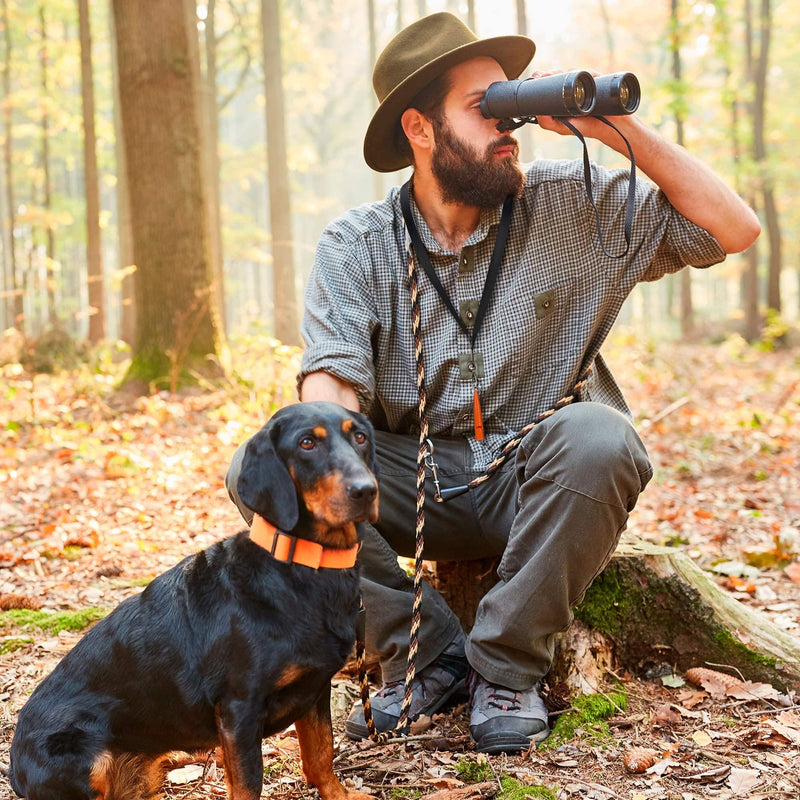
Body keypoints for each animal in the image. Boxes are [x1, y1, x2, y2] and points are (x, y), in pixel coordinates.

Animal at [9, 400, 378, 800]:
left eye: (359, 436)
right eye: (307, 443)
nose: (366, 490)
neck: (301, 567)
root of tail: (13, 766)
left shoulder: (315, 689)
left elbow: (321, 754)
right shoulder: (239, 709)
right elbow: (250, 784)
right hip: (85, 759)